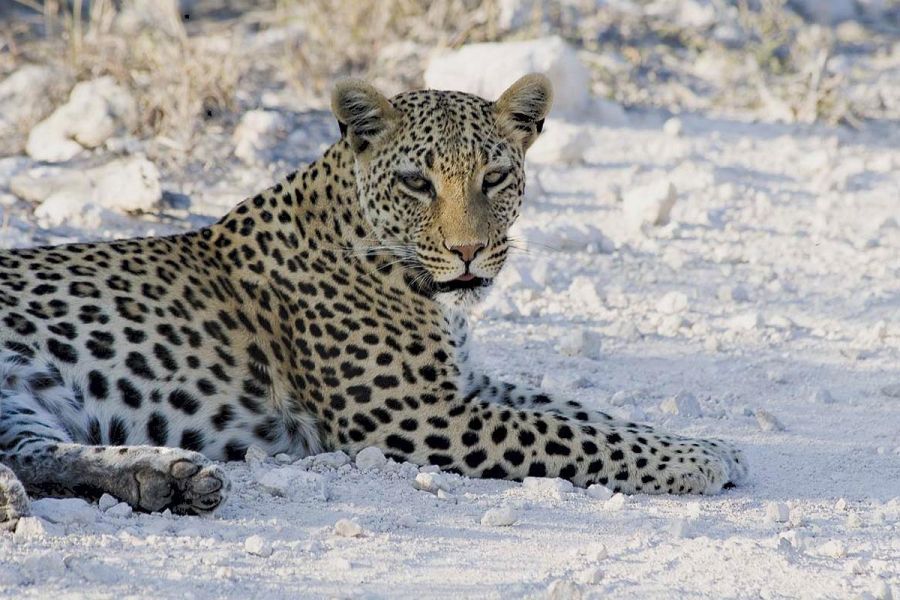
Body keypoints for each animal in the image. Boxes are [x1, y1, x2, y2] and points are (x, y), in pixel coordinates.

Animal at [0, 75, 744, 528]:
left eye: (494, 177)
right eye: (417, 182)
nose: (469, 251)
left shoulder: (469, 384)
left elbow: (587, 412)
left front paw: (710, 443)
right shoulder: (425, 415)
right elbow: (572, 434)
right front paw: (697, 461)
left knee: (34, 456)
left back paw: (168, 480)